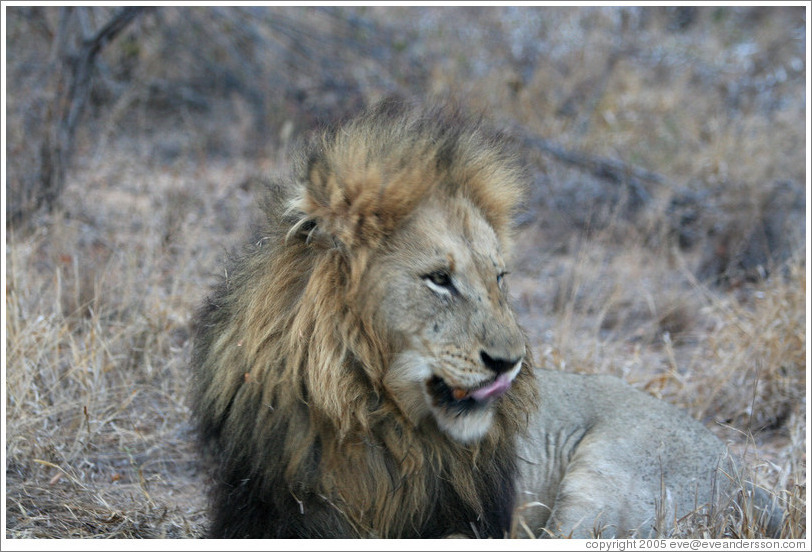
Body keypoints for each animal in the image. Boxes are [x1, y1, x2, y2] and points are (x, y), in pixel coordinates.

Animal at [190, 99, 782, 538]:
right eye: (439, 279)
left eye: (499, 277)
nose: (510, 363)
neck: (366, 414)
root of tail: (749, 478)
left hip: (607, 487)